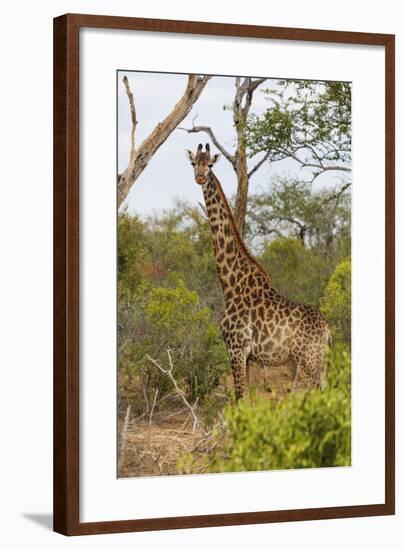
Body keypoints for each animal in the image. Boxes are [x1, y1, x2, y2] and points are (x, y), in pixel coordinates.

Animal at [185, 142, 330, 402]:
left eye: (210, 164)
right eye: (193, 163)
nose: (200, 177)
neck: (231, 285)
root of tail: (327, 330)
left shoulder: (236, 349)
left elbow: (240, 398)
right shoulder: (248, 357)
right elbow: (246, 399)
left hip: (308, 360)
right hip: (319, 362)